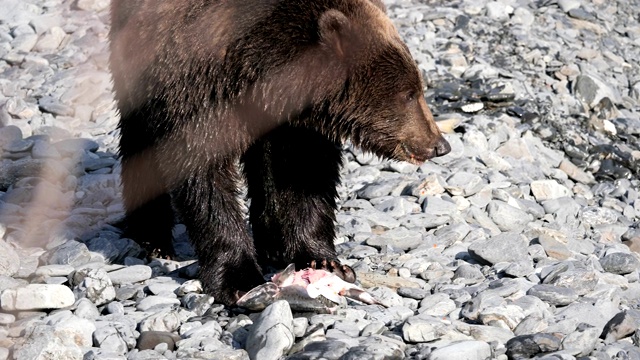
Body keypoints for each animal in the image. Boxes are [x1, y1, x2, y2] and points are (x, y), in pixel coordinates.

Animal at [109, 0, 450, 306]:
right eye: (409, 94)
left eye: (417, 87)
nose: (440, 144)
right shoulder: (196, 84)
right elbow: (204, 175)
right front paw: (239, 278)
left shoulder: (294, 120)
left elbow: (304, 172)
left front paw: (324, 260)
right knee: (139, 140)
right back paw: (152, 238)